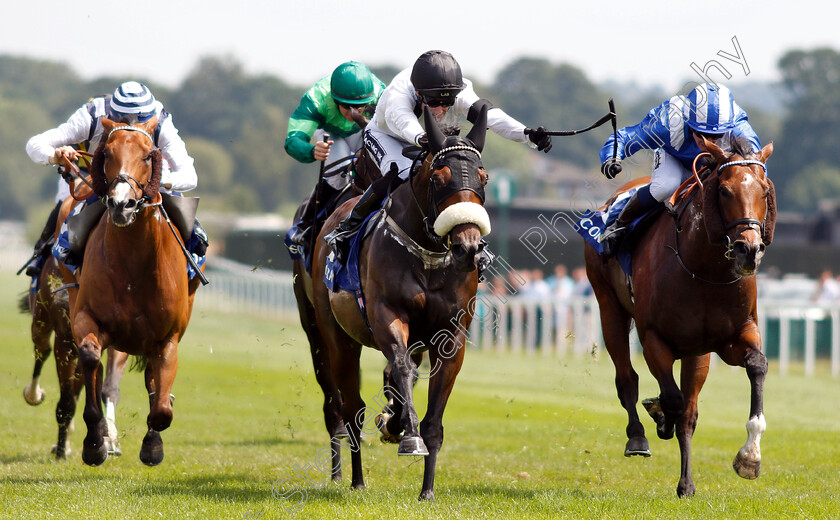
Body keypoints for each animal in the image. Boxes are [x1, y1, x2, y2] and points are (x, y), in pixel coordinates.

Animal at [57, 116, 202, 466]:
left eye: (150, 155)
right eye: (107, 153)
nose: (122, 204)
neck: (134, 268)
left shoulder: (167, 338)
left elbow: (162, 408)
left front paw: (152, 446)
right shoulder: (87, 318)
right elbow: (90, 359)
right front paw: (95, 443)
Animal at [310, 105, 492, 500]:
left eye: (484, 178)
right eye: (439, 177)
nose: (468, 247)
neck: (428, 255)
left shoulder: (451, 337)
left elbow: (432, 416)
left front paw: (427, 491)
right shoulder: (387, 316)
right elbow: (402, 372)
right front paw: (408, 437)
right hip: (336, 336)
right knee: (352, 408)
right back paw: (357, 478)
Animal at [584, 138, 776, 496]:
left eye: (764, 192)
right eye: (724, 191)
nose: (748, 249)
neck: (704, 269)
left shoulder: (733, 337)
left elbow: (755, 366)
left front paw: (749, 458)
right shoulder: (654, 339)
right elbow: (672, 399)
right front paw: (660, 417)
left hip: (696, 352)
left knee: (687, 408)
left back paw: (686, 482)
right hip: (609, 307)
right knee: (626, 378)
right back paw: (638, 436)